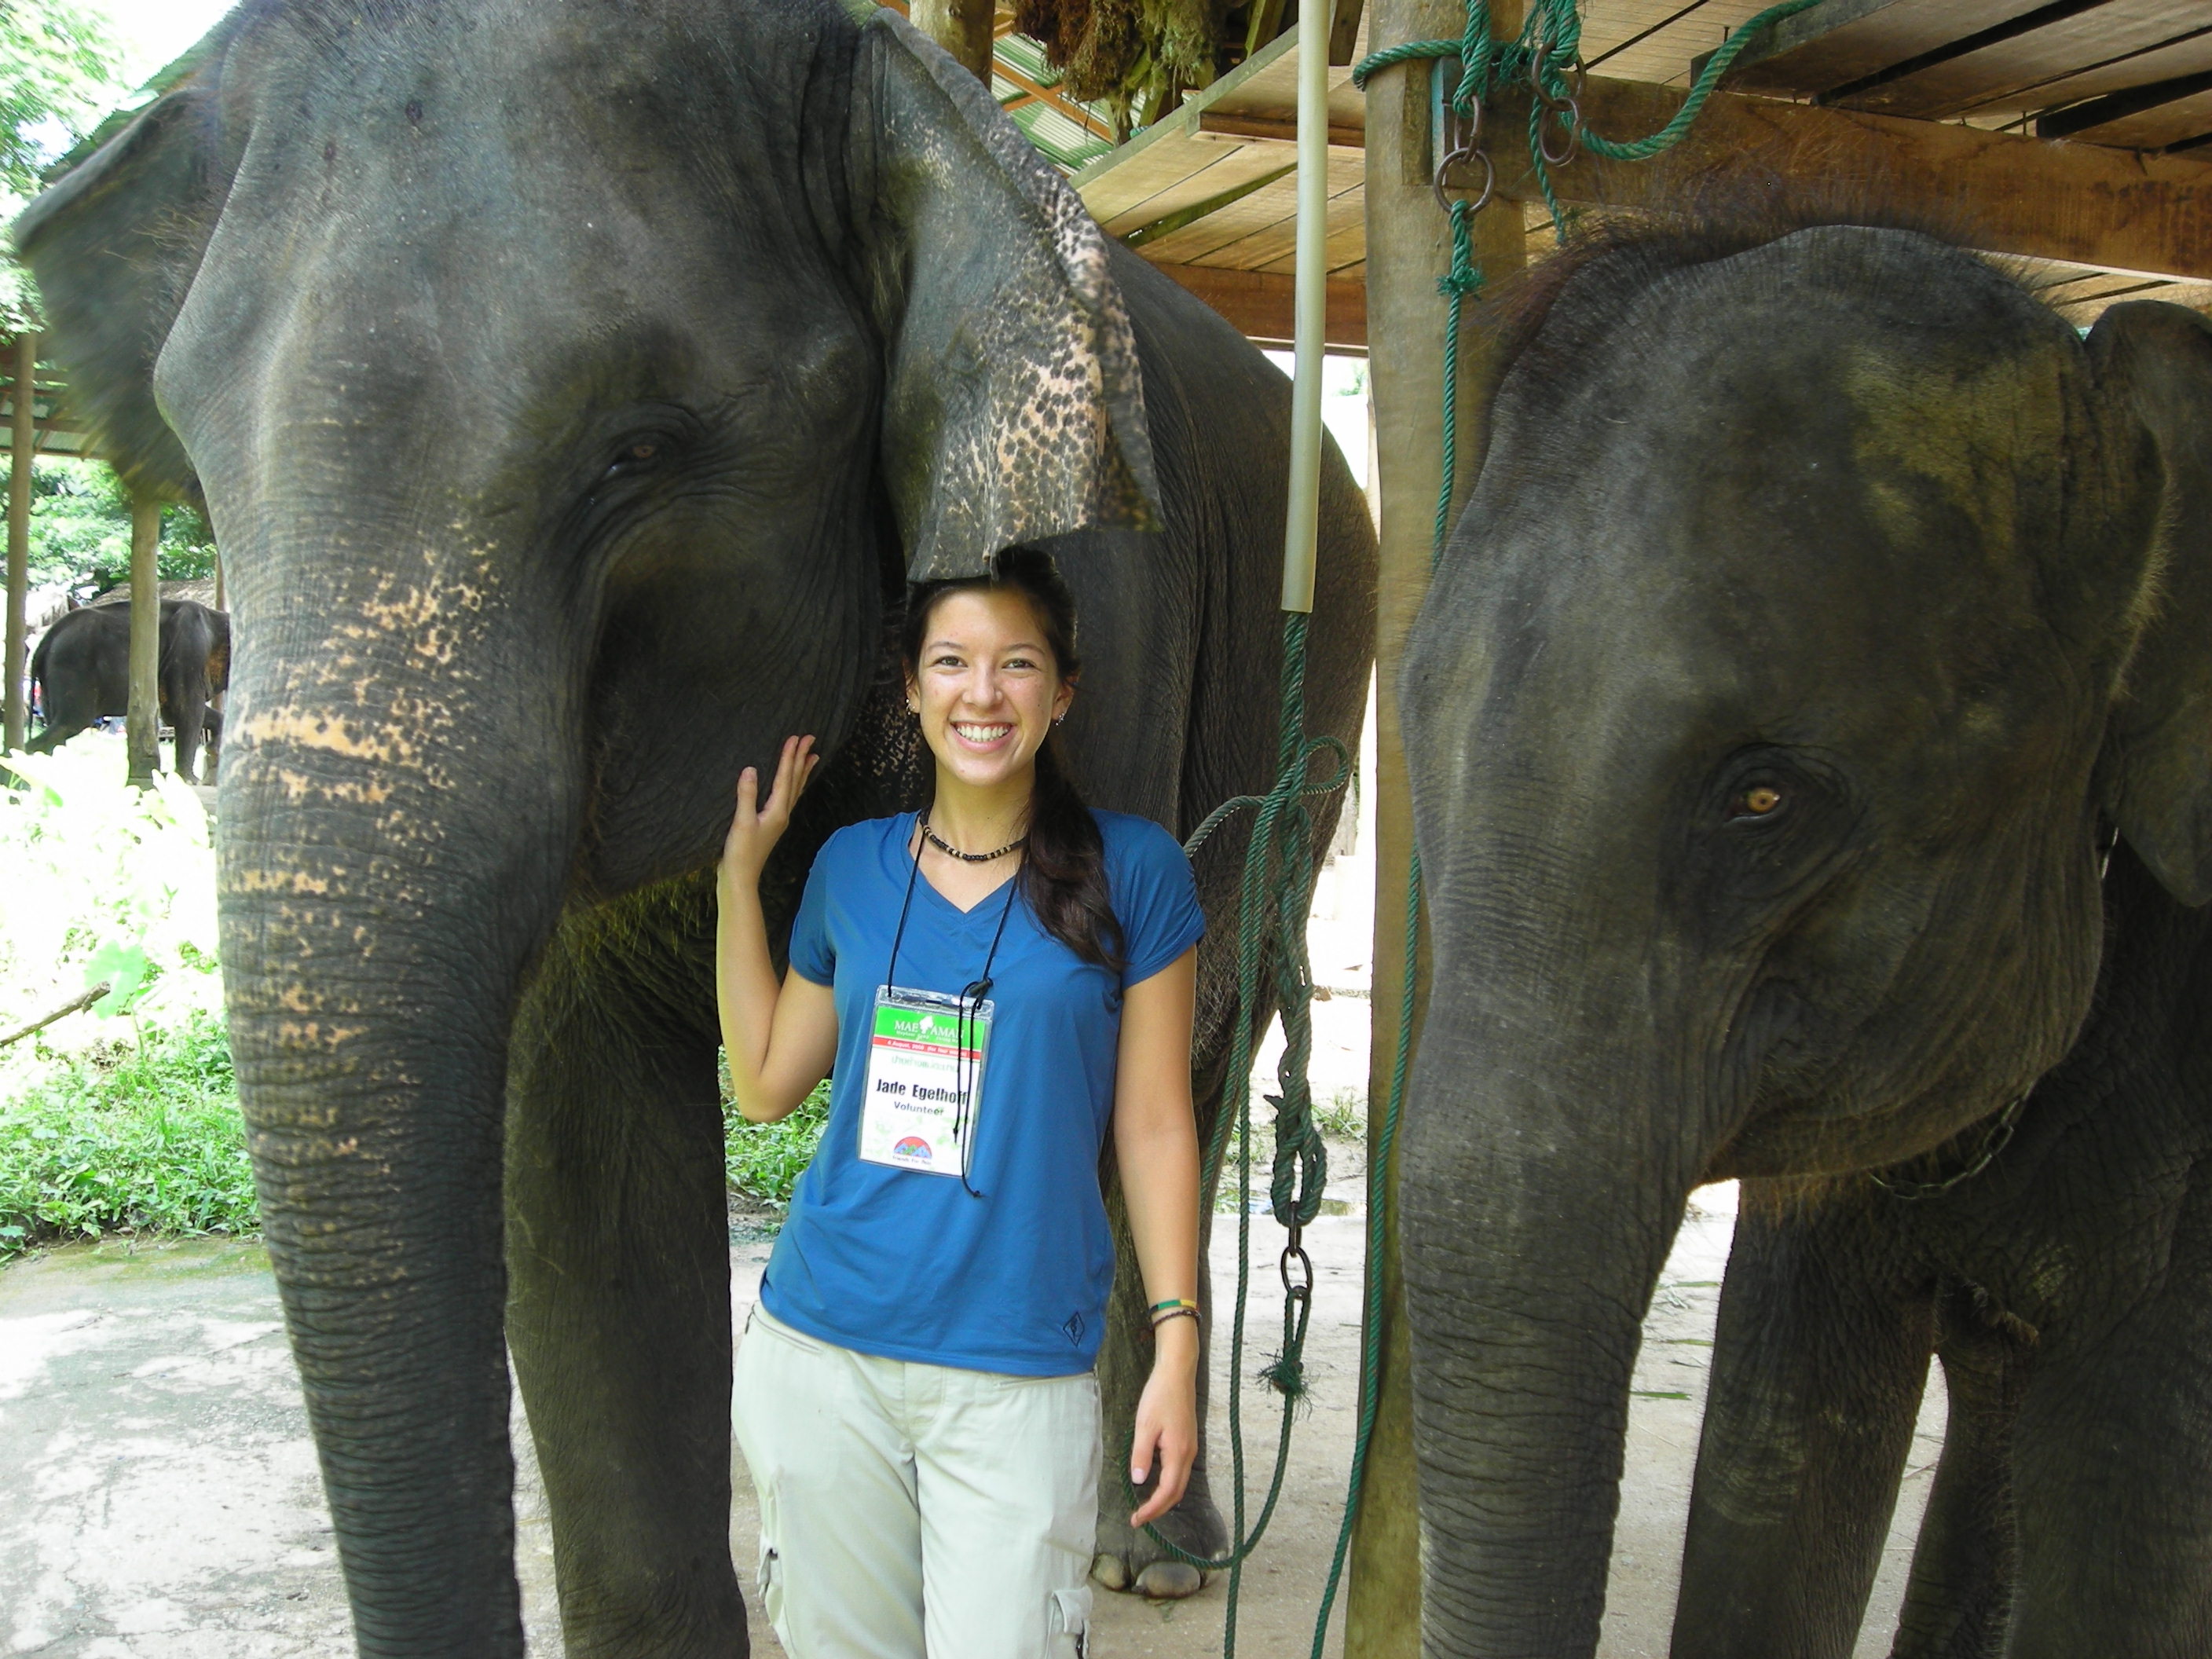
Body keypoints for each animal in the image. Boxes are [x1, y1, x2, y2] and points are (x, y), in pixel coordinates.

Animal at [26, 592, 231, 782]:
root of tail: (44, 642)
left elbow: (173, 714)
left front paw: (213, 750)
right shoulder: (189, 654)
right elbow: (187, 711)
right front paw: (189, 781)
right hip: (72, 667)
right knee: (70, 723)